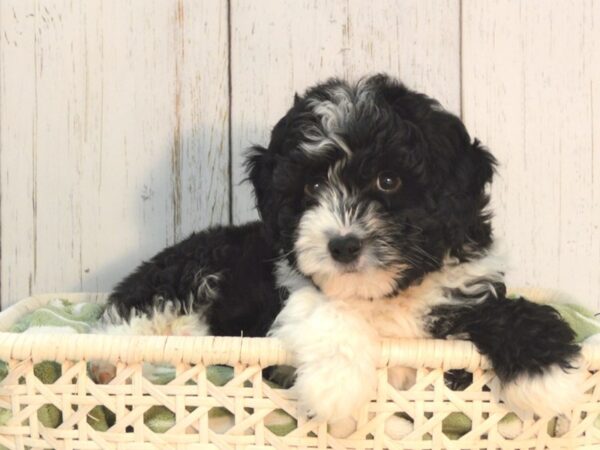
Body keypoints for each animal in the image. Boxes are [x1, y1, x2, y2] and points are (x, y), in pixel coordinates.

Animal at [96, 74, 584, 422]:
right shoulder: (287, 287)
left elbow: (506, 312)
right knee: (125, 330)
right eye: (312, 187)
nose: (343, 246)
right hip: (182, 282)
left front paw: (546, 375)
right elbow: (324, 307)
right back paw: (112, 366)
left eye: (388, 180)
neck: (386, 294)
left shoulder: (466, 291)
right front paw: (336, 387)